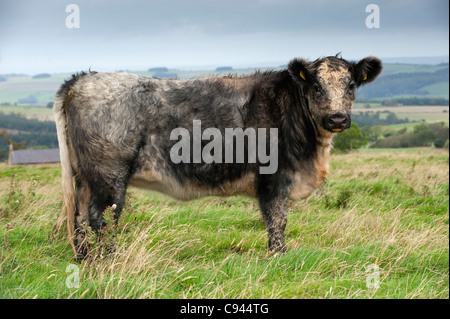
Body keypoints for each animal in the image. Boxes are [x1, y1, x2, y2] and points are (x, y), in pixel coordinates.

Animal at [53, 55, 384, 260]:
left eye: (351, 86)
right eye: (316, 86)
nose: (337, 118)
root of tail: (82, 79)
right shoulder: (274, 177)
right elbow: (276, 220)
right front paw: (279, 255)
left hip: (85, 177)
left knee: (79, 218)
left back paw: (84, 258)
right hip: (109, 176)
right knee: (101, 218)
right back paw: (109, 259)